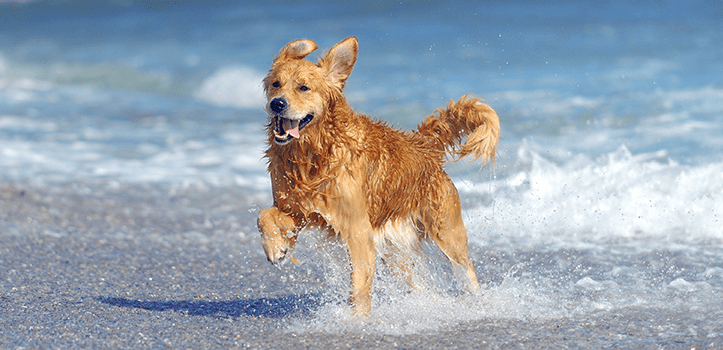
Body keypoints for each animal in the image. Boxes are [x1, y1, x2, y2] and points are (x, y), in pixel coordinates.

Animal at [258, 37, 500, 314]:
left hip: (447, 232)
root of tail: (424, 146)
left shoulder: (357, 229)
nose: (277, 103)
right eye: (276, 84)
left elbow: (359, 287)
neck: (313, 155)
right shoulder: (299, 210)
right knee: (418, 284)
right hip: (395, 250)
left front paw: (357, 320)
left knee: (466, 270)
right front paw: (275, 247)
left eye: (303, 88)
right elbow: (265, 215)